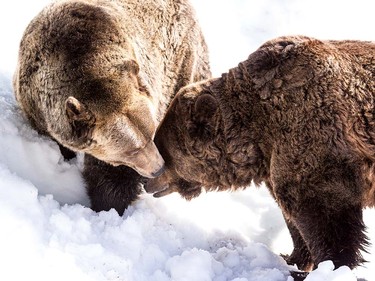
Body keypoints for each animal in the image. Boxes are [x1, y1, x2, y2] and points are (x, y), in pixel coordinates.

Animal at [13, 0, 212, 213]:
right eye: (131, 150)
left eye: (151, 134)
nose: (158, 168)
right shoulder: (34, 103)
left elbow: (111, 175)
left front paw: (109, 203)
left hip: (180, 62)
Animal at [147, 35, 375, 278]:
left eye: (162, 151)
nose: (146, 181)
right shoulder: (276, 163)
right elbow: (293, 219)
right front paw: (292, 259)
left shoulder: (318, 149)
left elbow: (327, 219)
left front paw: (328, 268)